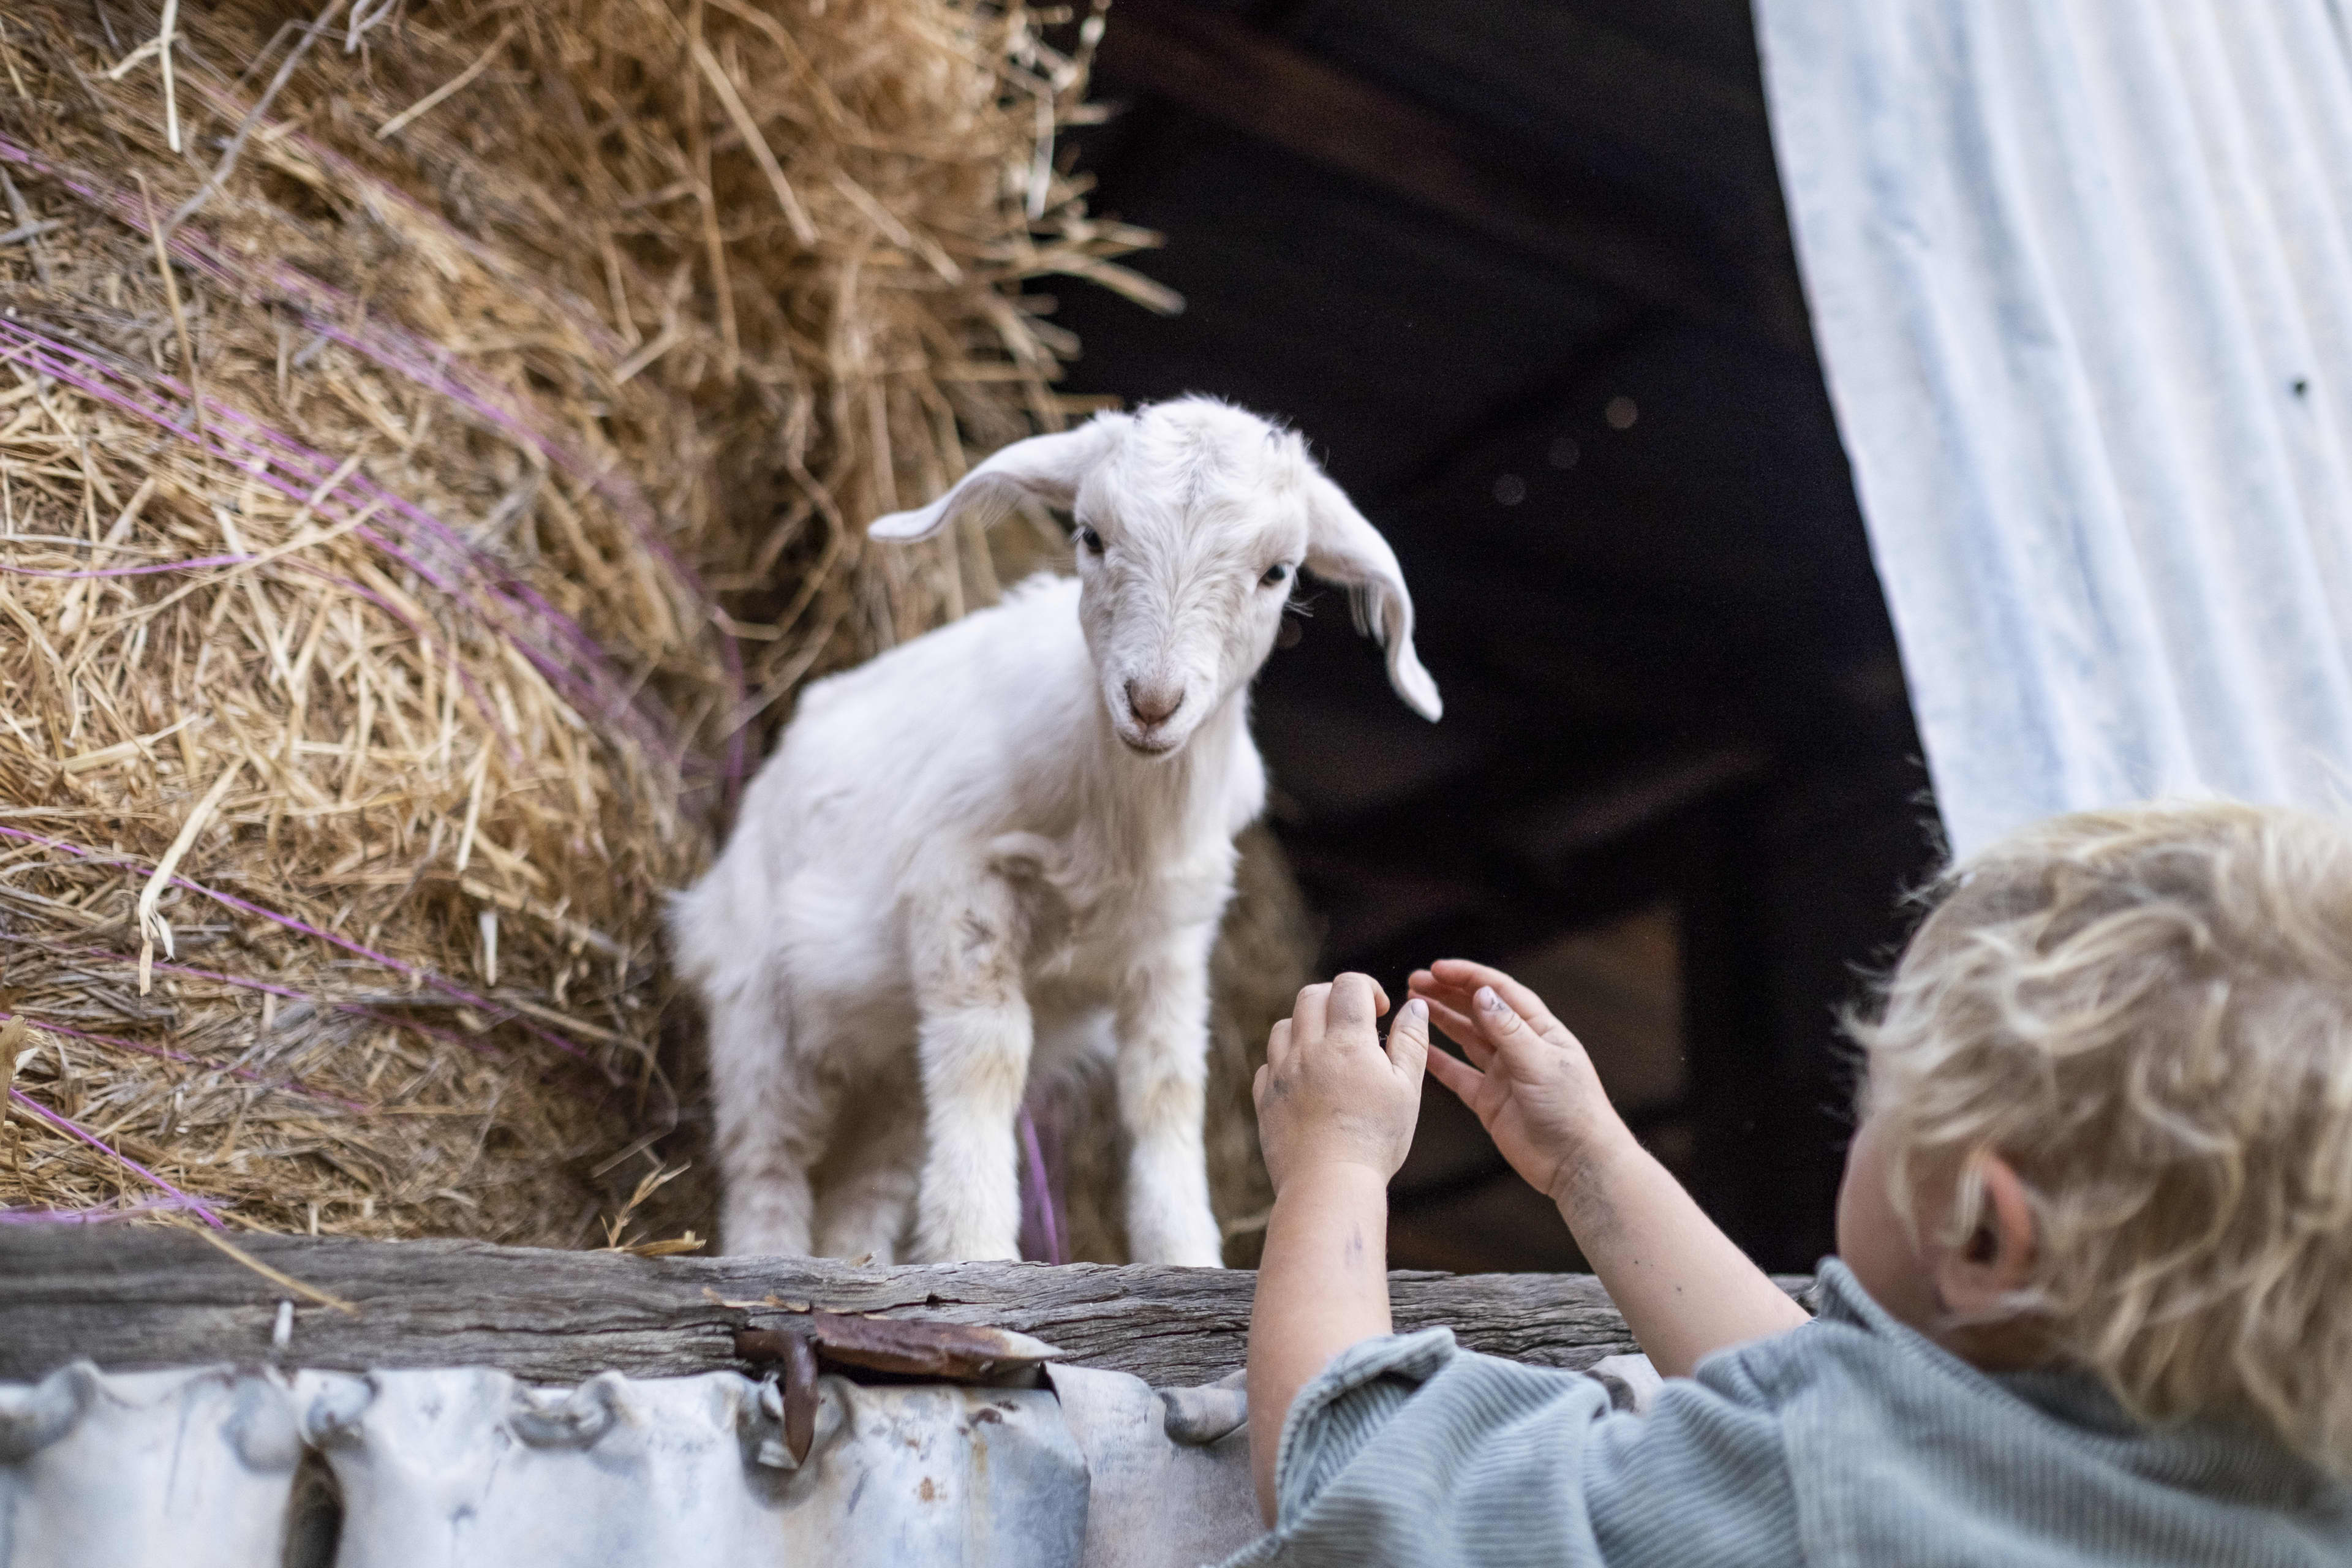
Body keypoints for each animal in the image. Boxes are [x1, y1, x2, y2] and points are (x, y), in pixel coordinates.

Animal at [669, 396, 1441, 1264]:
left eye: (1278, 571)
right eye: (1091, 535)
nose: (1152, 702)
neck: (1121, 818)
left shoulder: (1171, 941)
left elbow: (1166, 1089)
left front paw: (1184, 1253)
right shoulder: (959, 888)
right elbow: (988, 1059)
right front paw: (975, 1248)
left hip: (892, 1065)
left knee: (868, 1180)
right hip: (757, 1005)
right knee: (768, 1159)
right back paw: (767, 1256)